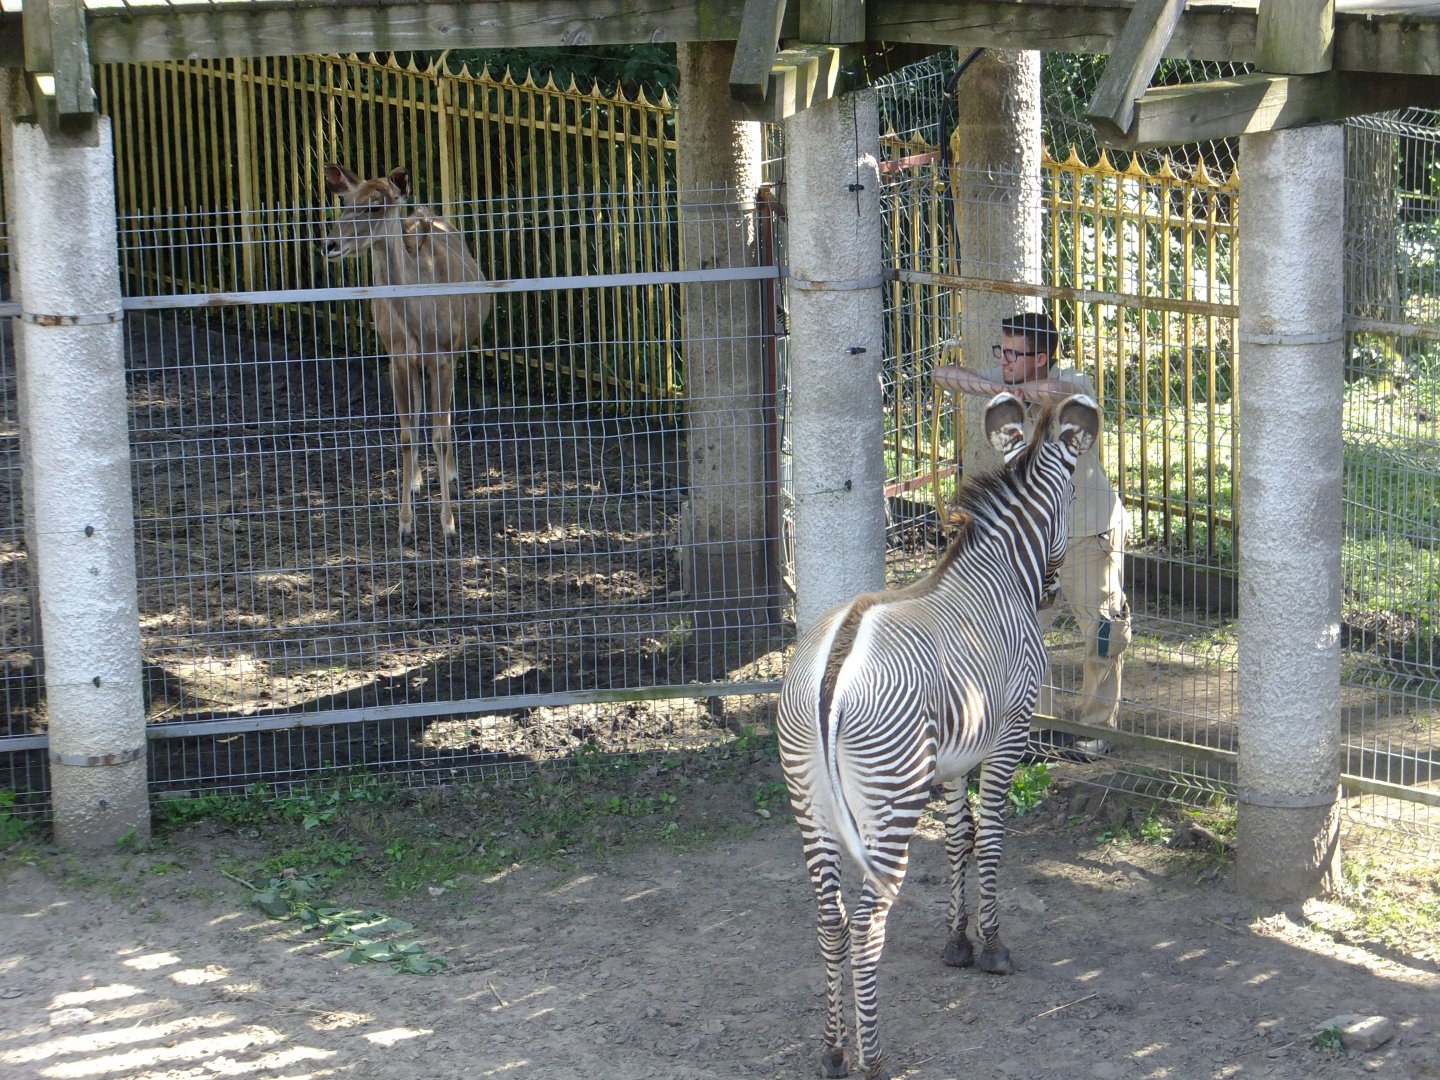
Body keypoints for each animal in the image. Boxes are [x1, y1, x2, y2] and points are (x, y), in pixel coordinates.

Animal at [777, 391, 1100, 1080]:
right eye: (1073, 498)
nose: (1052, 593)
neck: (998, 571)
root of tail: (835, 666)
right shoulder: (1008, 736)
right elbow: (995, 835)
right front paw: (993, 946)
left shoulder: (953, 756)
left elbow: (958, 835)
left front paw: (957, 940)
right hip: (891, 797)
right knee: (867, 924)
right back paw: (873, 1059)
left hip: (810, 801)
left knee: (830, 921)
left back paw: (833, 1050)